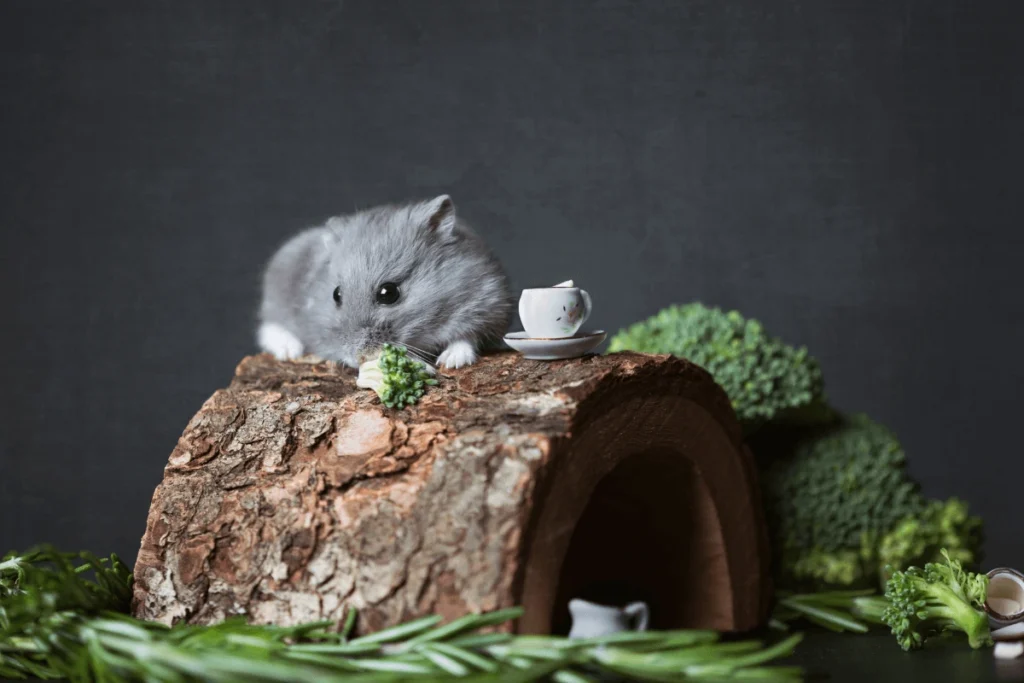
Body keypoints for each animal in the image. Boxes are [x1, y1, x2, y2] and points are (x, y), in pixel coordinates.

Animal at [256, 194, 512, 368]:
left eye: (388, 293)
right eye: (336, 294)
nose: (358, 358)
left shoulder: (488, 304)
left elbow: (466, 337)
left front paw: (450, 362)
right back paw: (289, 351)